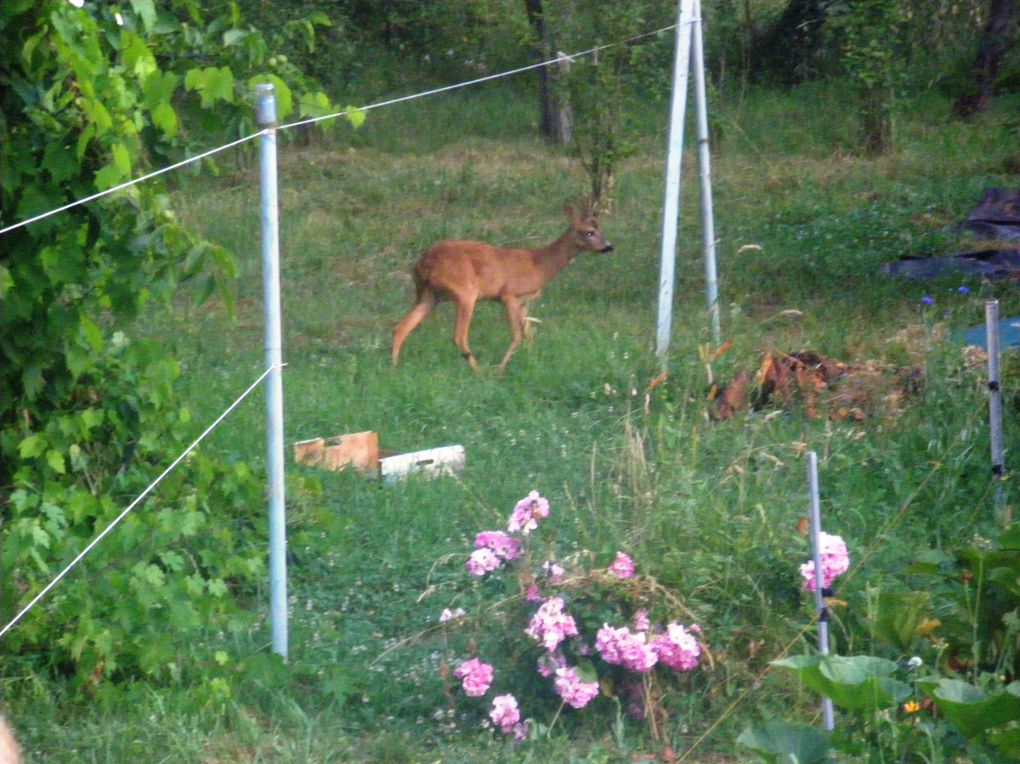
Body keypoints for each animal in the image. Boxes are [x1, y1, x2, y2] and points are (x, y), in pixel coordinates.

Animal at [389, 197, 612, 371]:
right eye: (589, 232)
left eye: (600, 230)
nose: (609, 246)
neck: (539, 265)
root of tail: (422, 263)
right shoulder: (509, 295)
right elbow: (517, 336)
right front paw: (502, 368)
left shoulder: (524, 302)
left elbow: (529, 335)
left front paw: (533, 362)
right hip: (464, 291)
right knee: (459, 336)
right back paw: (479, 371)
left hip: (428, 294)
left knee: (401, 327)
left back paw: (394, 367)